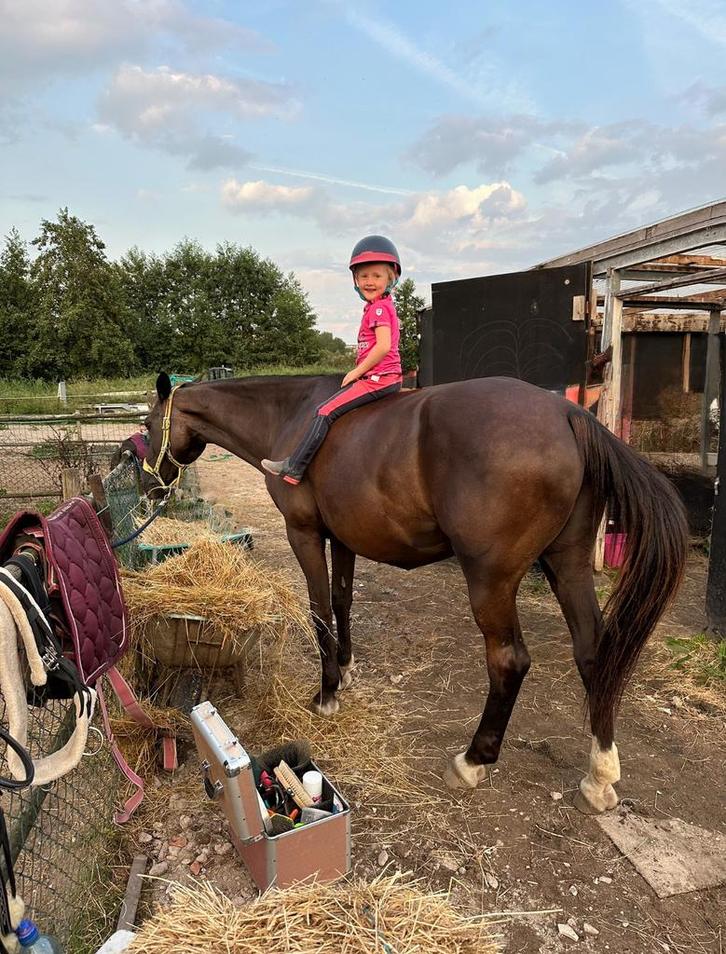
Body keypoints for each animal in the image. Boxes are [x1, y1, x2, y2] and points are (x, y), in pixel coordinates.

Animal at [141, 371, 688, 813]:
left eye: (147, 427)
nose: (149, 485)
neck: (291, 416)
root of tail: (568, 412)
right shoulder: (344, 538)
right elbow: (341, 600)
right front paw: (345, 668)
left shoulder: (305, 533)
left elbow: (319, 608)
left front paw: (327, 693)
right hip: (567, 563)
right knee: (593, 653)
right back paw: (599, 775)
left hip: (491, 579)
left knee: (509, 661)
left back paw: (473, 759)